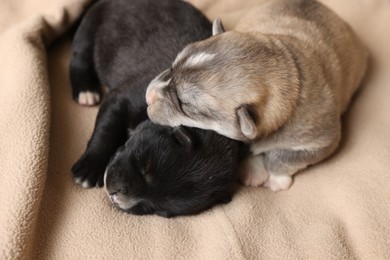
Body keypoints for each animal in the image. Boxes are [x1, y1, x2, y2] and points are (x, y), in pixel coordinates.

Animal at [69, 0, 244, 216]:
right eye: (143, 165)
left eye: (155, 209)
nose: (115, 196)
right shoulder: (122, 98)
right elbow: (106, 131)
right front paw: (88, 168)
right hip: (92, 24)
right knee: (80, 55)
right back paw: (85, 91)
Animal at [145, 0, 368, 191]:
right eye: (172, 67)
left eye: (184, 104)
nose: (148, 95)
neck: (289, 71)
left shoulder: (321, 142)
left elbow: (283, 157)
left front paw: (276, 178)